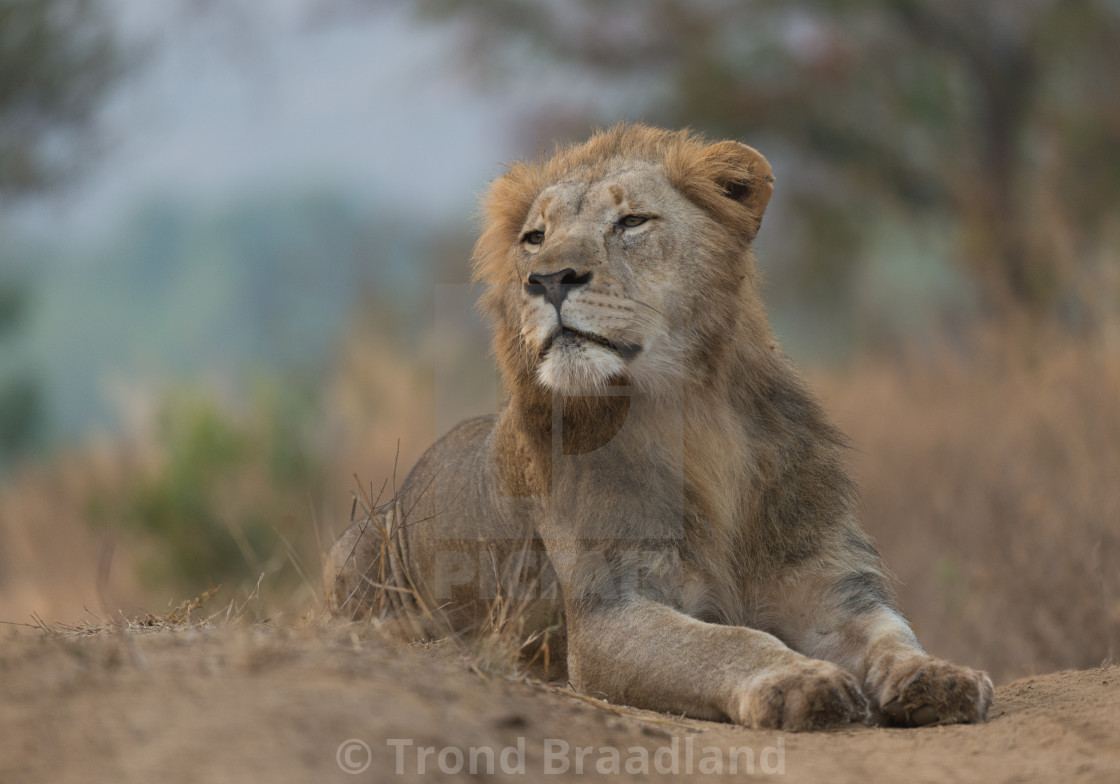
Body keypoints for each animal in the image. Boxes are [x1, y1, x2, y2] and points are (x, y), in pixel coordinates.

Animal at [324, 122, 990, 730]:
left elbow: (892, 635)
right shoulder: (610, 613)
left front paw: (941, 677)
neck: (693, 416)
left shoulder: (830, 589)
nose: (547, 279)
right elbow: (728, 641)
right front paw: (800, 682)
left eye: (631, 222)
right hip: (353, 543)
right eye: (535, 238)